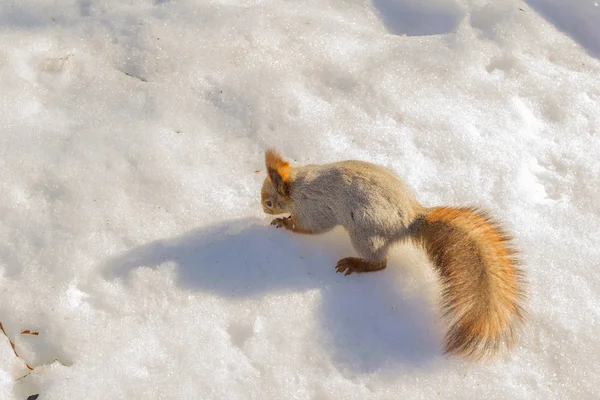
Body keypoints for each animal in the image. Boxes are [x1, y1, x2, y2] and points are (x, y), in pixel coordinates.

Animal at [260, 148, 524, 360]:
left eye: (269, 202)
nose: (262, 207)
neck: (297, 186)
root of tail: (410, 220)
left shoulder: (314, 207)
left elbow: (310, 227)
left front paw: (284, 223)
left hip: (365, 234)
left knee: (381, 263)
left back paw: (355, 264)